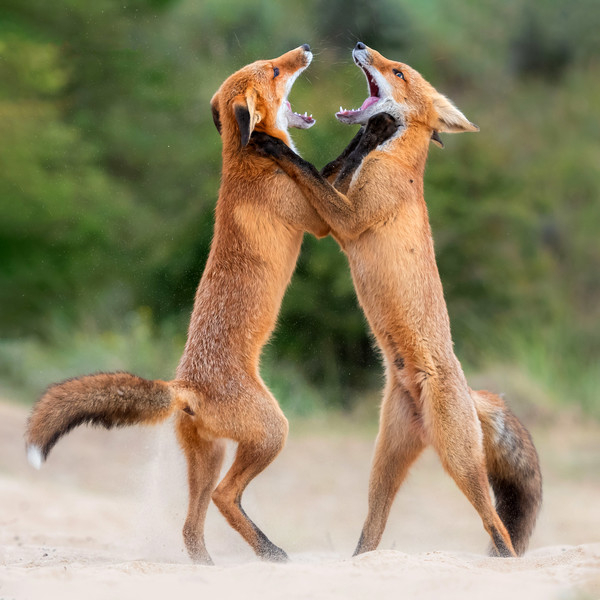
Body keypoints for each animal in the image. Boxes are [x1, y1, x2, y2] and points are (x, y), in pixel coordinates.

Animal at [25, 45, 330, 564]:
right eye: (274, 69)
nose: (306, 49)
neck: (246, 161)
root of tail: (184, 386)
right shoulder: (321, 221)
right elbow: (331, 172)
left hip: (209, 457)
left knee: (191, 528)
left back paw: (214, 566)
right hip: (272, 432)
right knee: (226, 498)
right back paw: (270, 553)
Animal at [251, 44, 540, 560]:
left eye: (399, 71)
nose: (362, 46)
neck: (396, 164)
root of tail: (466, 393)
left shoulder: (346, 223)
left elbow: (309, 171)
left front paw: (275, 147)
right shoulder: (341, 214)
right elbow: (333, 168)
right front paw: (370, 132)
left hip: (461, 464)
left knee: (498, 529)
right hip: (383, 463)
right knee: (373, 531)